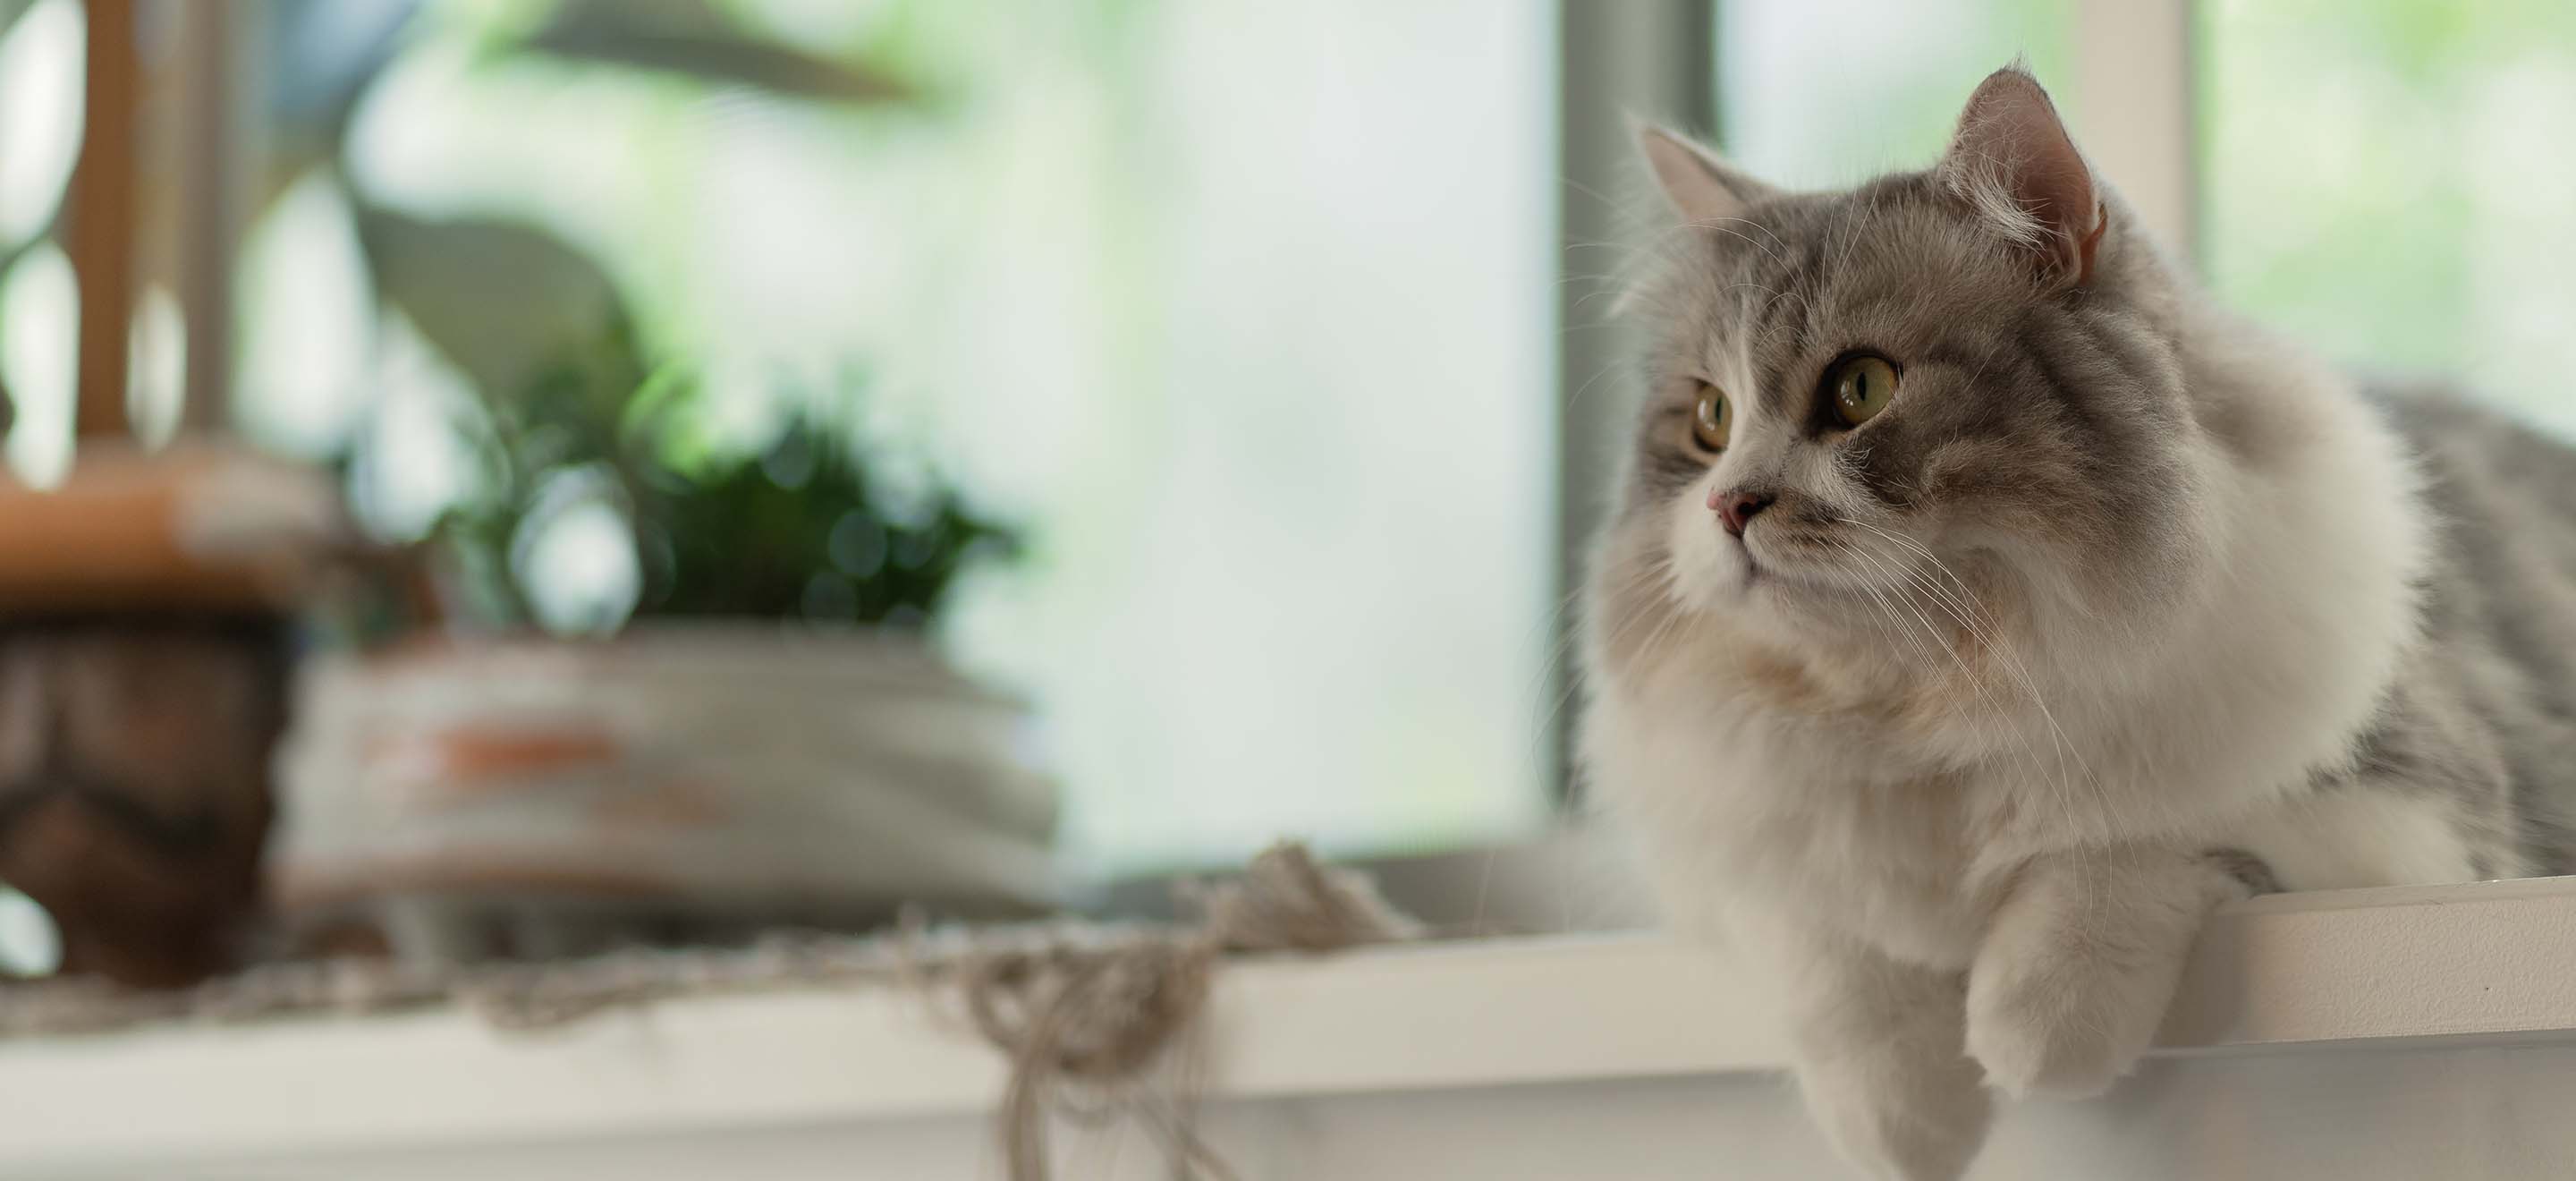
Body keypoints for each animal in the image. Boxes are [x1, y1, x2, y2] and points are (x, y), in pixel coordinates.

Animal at [1566, 66, 2576, 1181]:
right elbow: (1829, 953)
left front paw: (2031, 1028)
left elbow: (2129, 839)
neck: (1936, 694)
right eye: (1710, 421)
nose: (1727, 507)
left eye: (1861, 389)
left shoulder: (2410, 822)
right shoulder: (1733, 851)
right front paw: (1909, 1121)